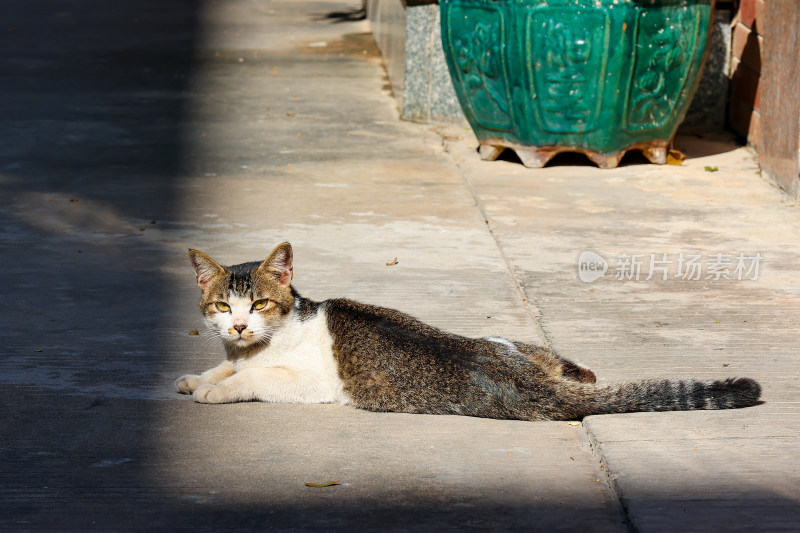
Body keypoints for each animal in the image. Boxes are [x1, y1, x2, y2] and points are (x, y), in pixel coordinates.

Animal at [177, 241, 764, 420]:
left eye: (259, 303)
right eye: (222, 306)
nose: (240, 325)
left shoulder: (313, 382)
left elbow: (251, 379)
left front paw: (216, 388)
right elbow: (225, 365)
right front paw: (198, 376)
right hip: (515, 344)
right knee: (579, 370)